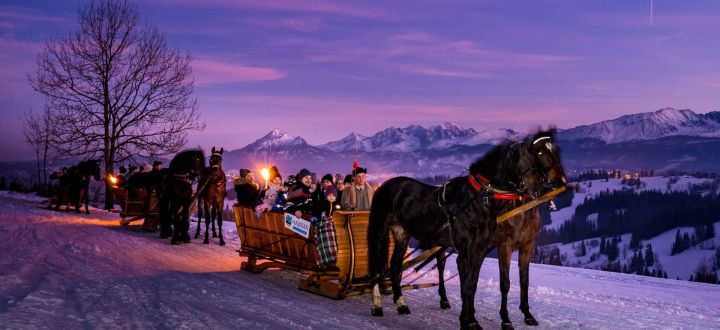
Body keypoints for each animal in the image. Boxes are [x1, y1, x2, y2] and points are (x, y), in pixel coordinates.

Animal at [368, 129, 564, 330]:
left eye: (535, 156)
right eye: (528, 156)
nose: (539, 189)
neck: (479, 199)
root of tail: (385, 185)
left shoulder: (480, 250)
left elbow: (473, 284)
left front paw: (470, 319)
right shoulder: (468, 250)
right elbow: (467, 286)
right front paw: (467, 320)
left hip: (402, 233)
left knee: (395, 264)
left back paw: (401, 303)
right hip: (379, 231)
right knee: (375, 264)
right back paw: (377, 305)